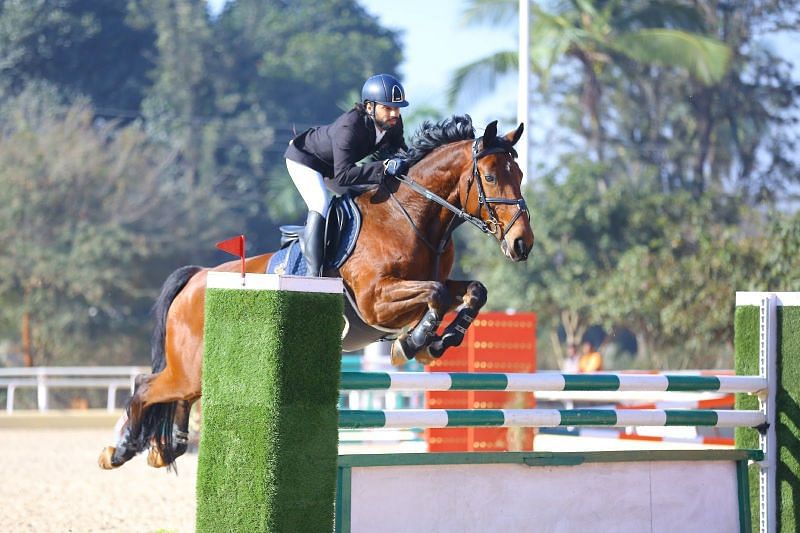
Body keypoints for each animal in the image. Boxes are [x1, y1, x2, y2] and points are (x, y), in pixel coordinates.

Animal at [100, 114, 536, 468]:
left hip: (200, 369)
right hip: (187, 367)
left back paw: (167, 447)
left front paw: (442, 340)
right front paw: (412, 343)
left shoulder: (430, 283)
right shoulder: (375, 301)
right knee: (145, 387)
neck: (410, 216)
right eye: (492, 177)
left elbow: (472, 291)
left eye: (520, 175)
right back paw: (118, 450)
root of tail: (198, 278)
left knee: (179, 398)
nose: (522, 244)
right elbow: (436, 296)